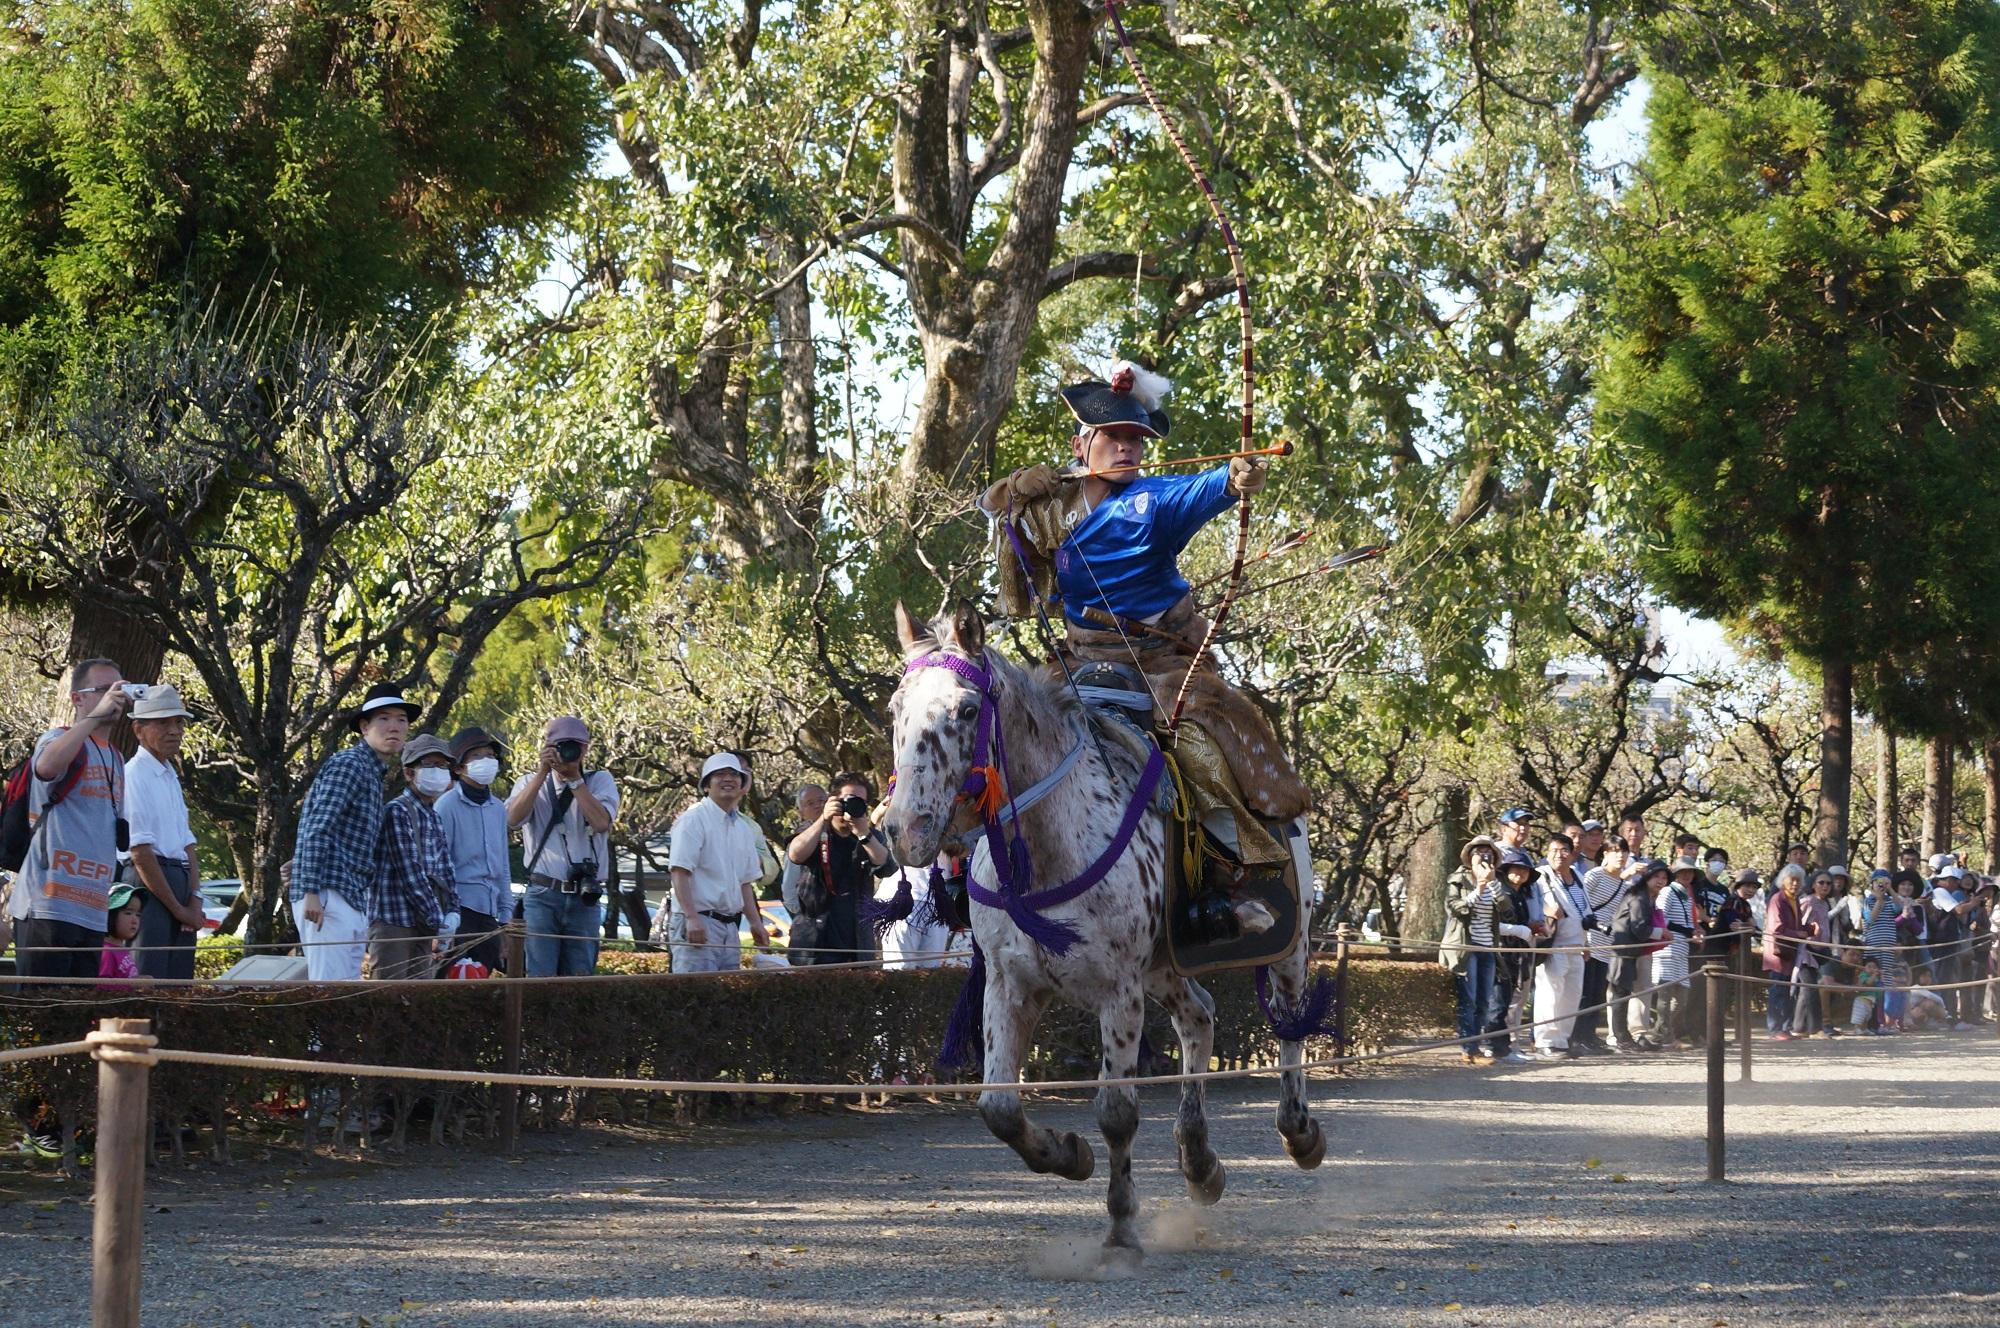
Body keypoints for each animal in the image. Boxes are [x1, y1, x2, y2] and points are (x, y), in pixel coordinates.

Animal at [888, 604, 1328, 1264]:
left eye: (966, 711)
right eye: (896, 708)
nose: (904, 829)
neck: (1047, 847)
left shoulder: (1118, 989)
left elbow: (1117, 1111)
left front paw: (1121, 1228)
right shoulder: (1009, 983)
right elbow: (999, 1107)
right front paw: (1069, 1155)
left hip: (1290, 934)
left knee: (1290, 1024)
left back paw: (1298, 1132)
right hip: (1165, 964)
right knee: (1199, 1016)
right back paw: (1200, 1162)